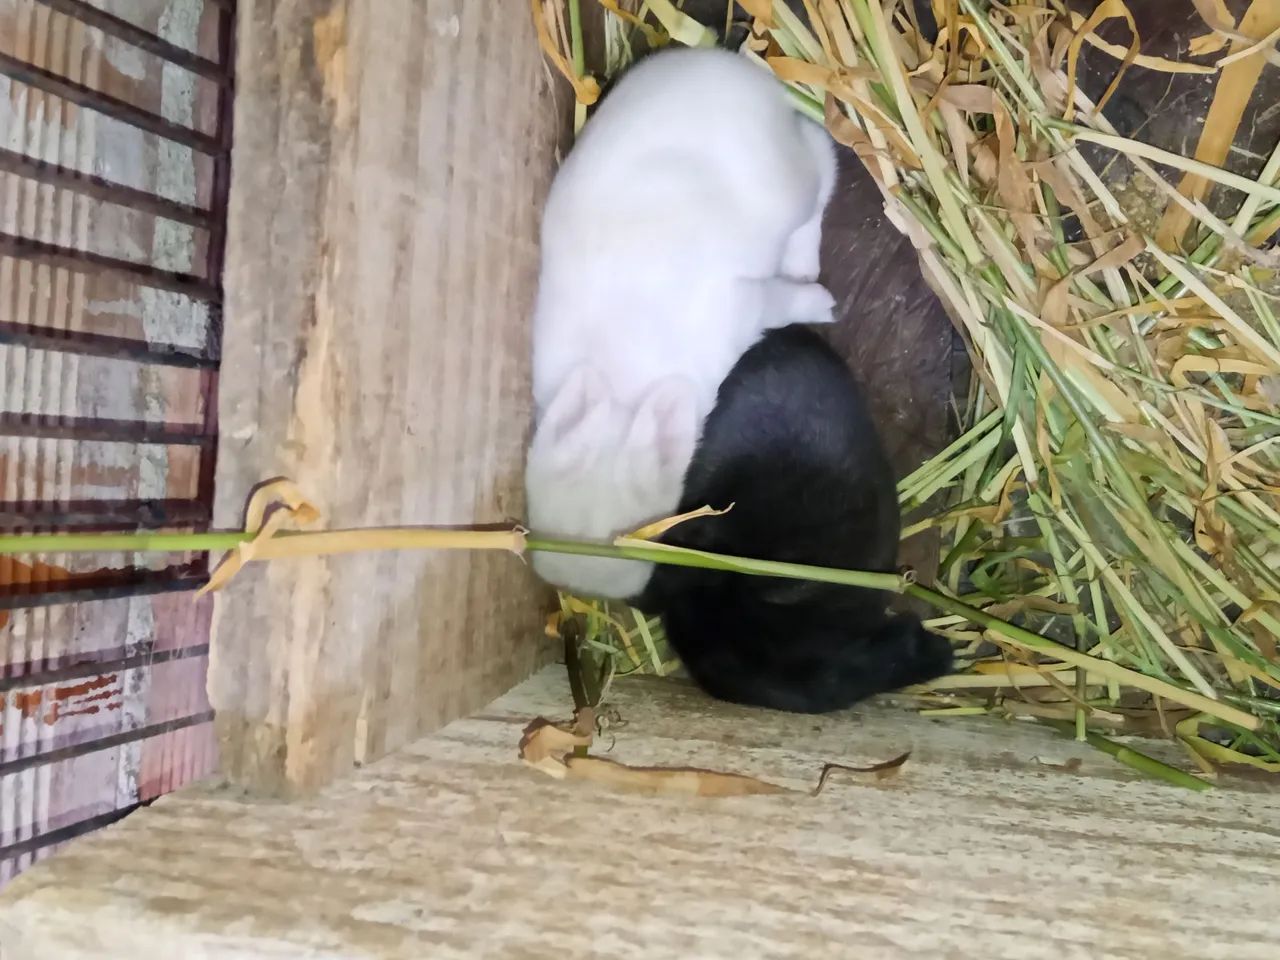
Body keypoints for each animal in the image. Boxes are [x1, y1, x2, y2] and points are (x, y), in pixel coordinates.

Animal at [527, 48, 838, 598]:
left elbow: (780, 302)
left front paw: (822, 305)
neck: (623, 389)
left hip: (791, 178)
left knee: (823, 161)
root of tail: (743, 75)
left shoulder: (740, 308)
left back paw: (805, 264)